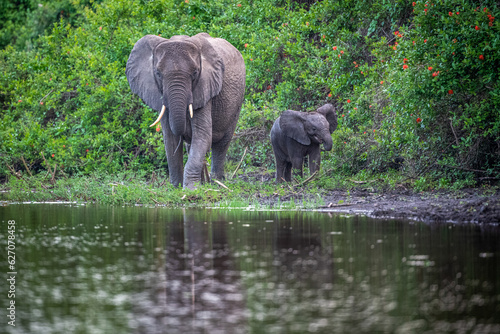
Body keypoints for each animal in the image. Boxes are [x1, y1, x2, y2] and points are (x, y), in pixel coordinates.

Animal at [126, 32, 245, 189]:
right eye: (158, 73)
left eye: (195, 73)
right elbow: (170, 138)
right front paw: (175, 187)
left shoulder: (205, 88)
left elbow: (202, 135)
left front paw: (190, 189)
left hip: (237, 102)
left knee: (221, 144)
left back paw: (217, 182)